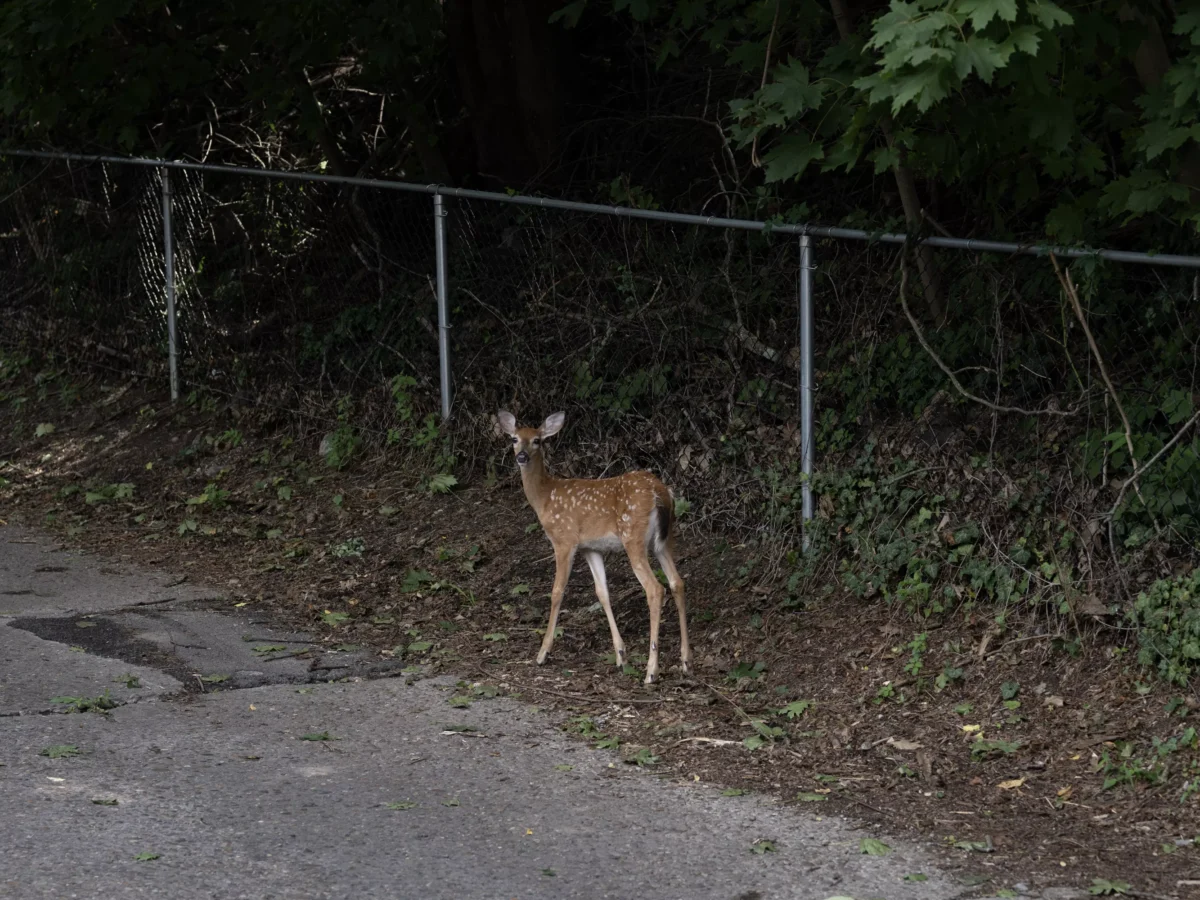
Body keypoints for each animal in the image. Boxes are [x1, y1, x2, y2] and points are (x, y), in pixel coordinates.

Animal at [497, 410, 691, 684]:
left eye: (537, 440)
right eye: (514, 439)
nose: (521, 456)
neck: (545, 497)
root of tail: (661, 494)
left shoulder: (564, 540)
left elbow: (557, 592)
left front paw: (543, 652)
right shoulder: (590, 548)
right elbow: (602, 593)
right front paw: (621, 655)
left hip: (633, 536)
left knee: (655, 589)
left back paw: (651, 671)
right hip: (664, 541)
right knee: (677, 582)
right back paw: (686, 661)